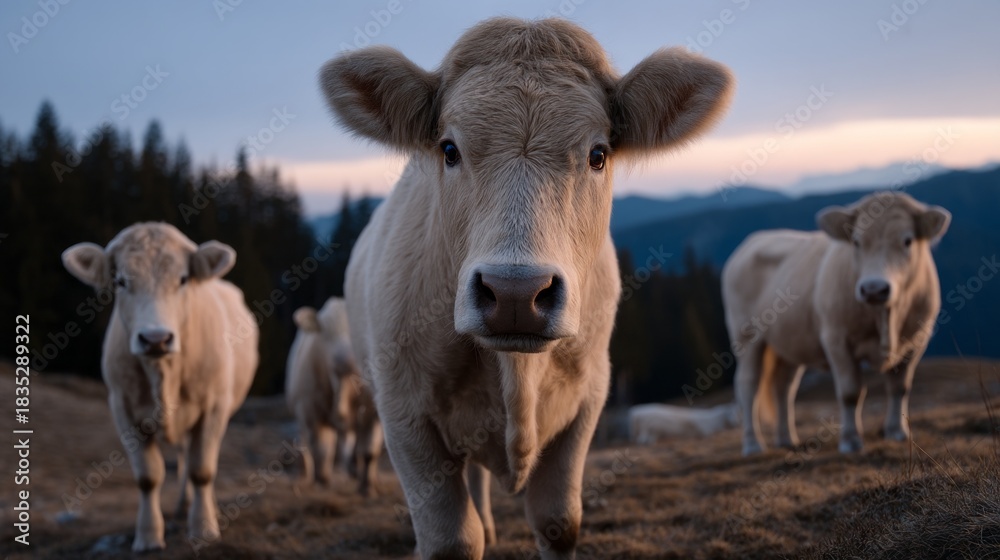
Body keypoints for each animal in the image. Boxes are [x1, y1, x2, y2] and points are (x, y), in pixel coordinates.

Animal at [61, 223, 258, 551]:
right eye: (121, 281)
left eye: (183, 279)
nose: (156, 339)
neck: (164, 374)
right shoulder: (123, 408)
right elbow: (148, 476)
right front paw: (149, 536)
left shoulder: (214, 407)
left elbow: (202, 470)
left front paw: (204, 528)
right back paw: (182, 505)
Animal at [286, 297, 383, 495]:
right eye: (325, 335)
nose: (345, 358)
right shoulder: (308, 407)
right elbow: (321, 449)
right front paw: (322, 482)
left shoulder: (373, 412)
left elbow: (369, 451)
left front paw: (368, 488)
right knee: (307, 442)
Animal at [319, 17, 733, 558]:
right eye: (449, 150)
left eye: (598, 154)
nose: (516, 292)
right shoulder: (402, 410)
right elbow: (451, 538)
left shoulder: (588, 397)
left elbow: (559, 520)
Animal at [722, 192, 950, 455]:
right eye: (856, 242)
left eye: (907, 241)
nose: (874, 289)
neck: (886, 319)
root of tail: (754, 239)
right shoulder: (836, 339)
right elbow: (851, 392)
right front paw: (851, 440)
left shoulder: (917, 339)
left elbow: (899, 387)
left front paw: (897, 432)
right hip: (746, 335)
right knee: (748, 386)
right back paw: (753, 444)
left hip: (790, 342)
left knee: (784, 387)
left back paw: (786, 439)